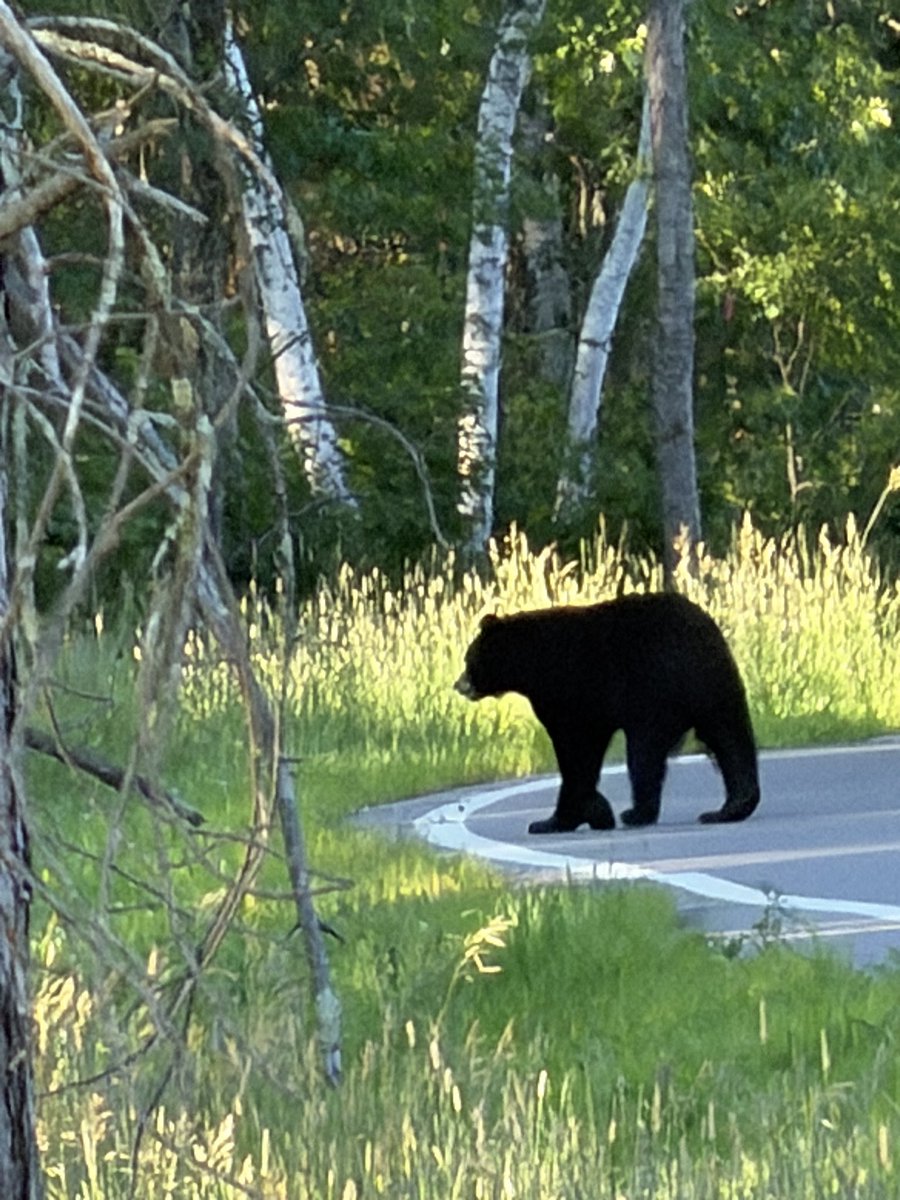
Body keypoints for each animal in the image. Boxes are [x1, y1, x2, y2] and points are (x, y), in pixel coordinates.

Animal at [454, 592, 760, 834]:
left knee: (644, 753)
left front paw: (556, 820)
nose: (458, 684)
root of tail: (702, 631)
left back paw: (637, 813)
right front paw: (592, 813)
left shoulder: (566, 692)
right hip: (715, 687)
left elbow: (574, 751)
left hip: (655, 692)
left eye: (469, 658)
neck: (531, 664)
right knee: (730, 739)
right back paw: (730, 808)